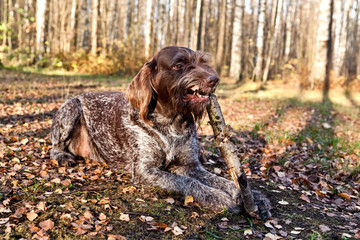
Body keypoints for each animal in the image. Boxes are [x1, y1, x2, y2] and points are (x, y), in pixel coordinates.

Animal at [50, 46, 242, 212]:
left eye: (202, 61)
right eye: (179, 65)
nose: (214, 79)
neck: (171, 122)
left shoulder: (189, 165)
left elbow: (218, 179)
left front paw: (238, 191)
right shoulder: (145, 171)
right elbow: (187, 182)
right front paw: (217, 197)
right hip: (71, 108)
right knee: (54, 146)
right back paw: (62, 156)